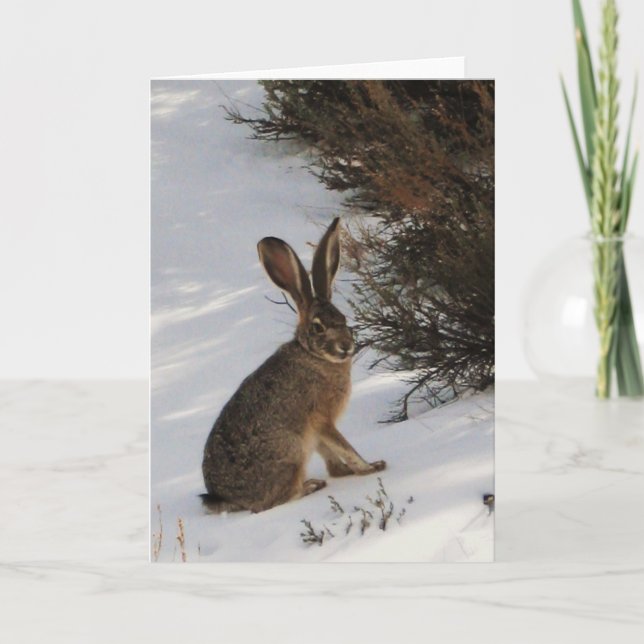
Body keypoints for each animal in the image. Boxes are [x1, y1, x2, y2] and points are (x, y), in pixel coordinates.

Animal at [201, 217, 386, 513]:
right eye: (318, 327)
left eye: (344, 319)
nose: (346, 346)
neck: (314, 357)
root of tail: (225, 498)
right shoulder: (320, 418)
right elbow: (344, 446)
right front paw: (370, 467)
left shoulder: (316, 431)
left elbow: (330, 452)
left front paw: (344, 472)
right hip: (292, 451)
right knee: (273, 502)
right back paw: (311, 486)